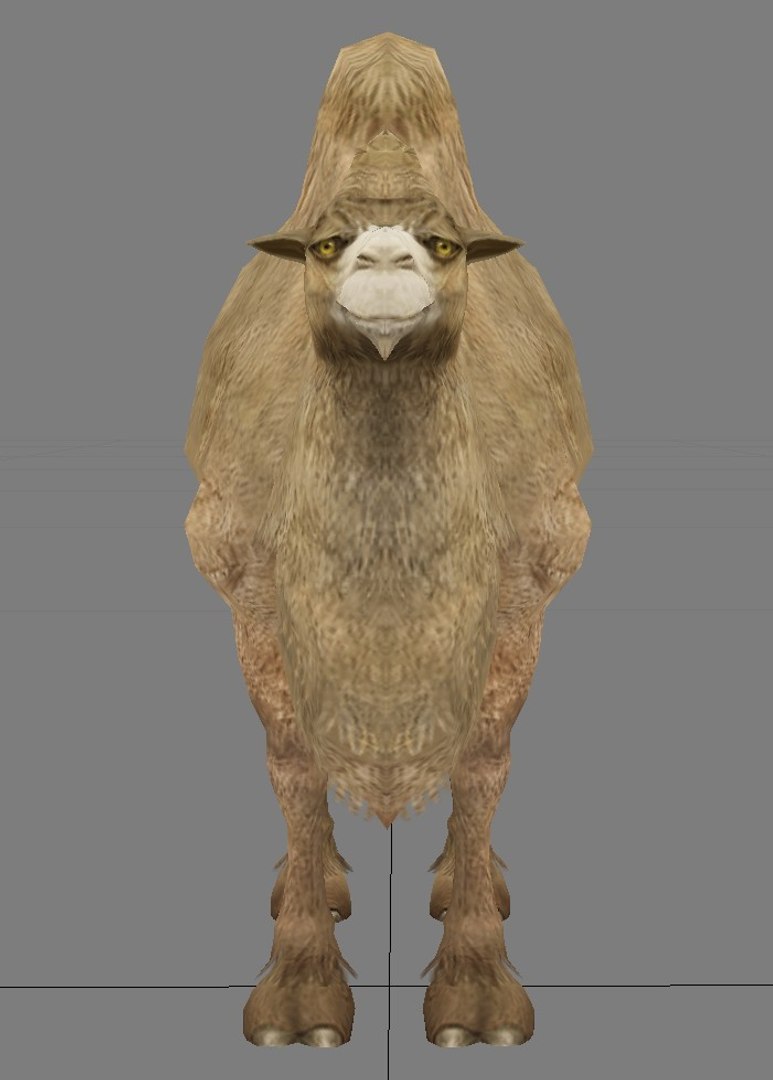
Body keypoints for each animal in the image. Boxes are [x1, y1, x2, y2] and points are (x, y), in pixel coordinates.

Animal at [184, 32, 593, 1051]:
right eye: (326, 244)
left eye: (442, 244)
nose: (381, 256)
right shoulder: (249, 581)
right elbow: (291, 762)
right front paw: (299, 991)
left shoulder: (525, 579)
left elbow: (484, 761)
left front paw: (477, 990)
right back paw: (317, 881)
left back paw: (460, 881)